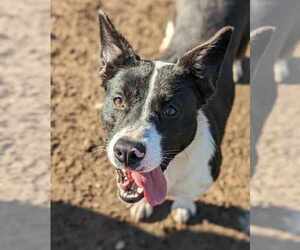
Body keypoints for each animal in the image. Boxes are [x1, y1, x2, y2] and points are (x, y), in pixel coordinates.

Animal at [98, 0, 248, 224]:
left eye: (171, 110)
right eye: (118, 100)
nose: (127, 151)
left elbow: (188, 193)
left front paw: (183, 206)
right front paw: (143, 205)